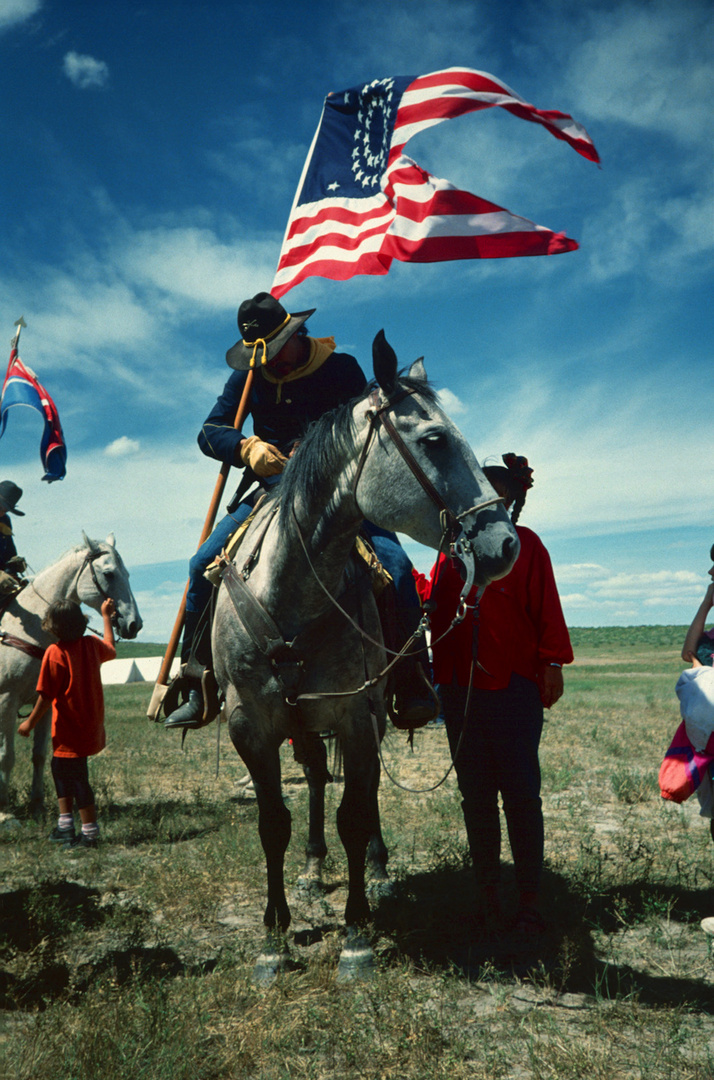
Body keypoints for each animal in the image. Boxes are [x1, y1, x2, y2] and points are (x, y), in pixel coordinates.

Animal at [0, 533, 141, 812]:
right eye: (109, 573)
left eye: (128, 574)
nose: (135, 624)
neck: (29, 629)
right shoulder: (7, 701)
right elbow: (7, 757)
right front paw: (3, 808)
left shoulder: (43, 702)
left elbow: (39, 755)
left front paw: (37, 805)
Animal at [211, 332, 518, 984]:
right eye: (435, 439)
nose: (503, 544)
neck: (292, 592)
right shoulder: (251, 725)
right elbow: (272, 824)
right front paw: (273, 941)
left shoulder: (353, 715)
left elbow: (355, 813)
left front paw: (355, 938)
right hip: (301, 722)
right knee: (316, 780)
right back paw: (311, 868)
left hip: (367, 715)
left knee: (364, 787)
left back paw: (374, 870)